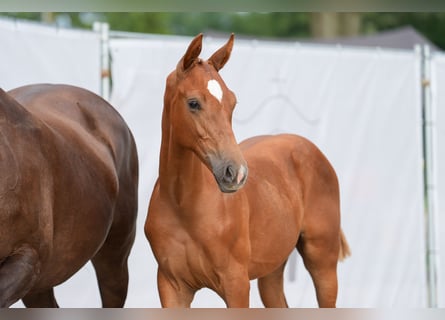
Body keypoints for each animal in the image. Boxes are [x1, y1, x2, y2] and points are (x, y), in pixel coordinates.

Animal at [144, 33, 348, 308]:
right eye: (193, 103)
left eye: (233, 103)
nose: (236, 173)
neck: (184, 207)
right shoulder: (171, 287)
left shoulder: (236, 284)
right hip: (272, 270)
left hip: (322, 261)